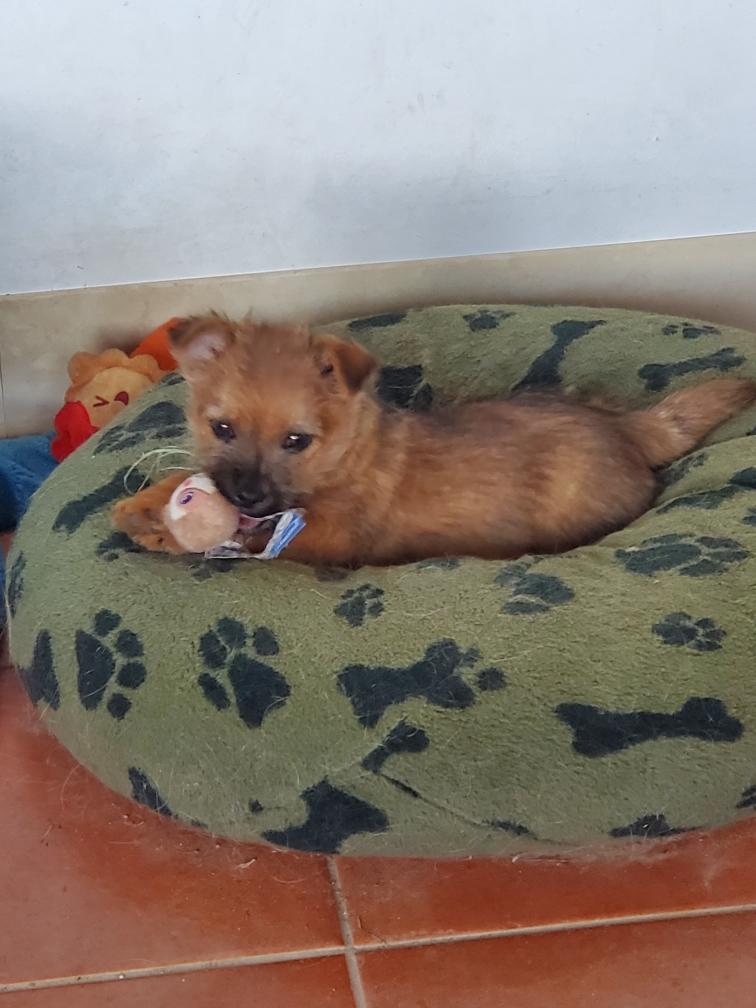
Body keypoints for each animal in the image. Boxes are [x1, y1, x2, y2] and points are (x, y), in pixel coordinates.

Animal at [112, 314, 756, 567]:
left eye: (297, 440)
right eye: (221, 428)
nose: (244, 496)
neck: (347, 456)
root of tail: (627, 426)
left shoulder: (328, 537)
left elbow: (253, 542)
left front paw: (172, 534)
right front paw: (143, 505)